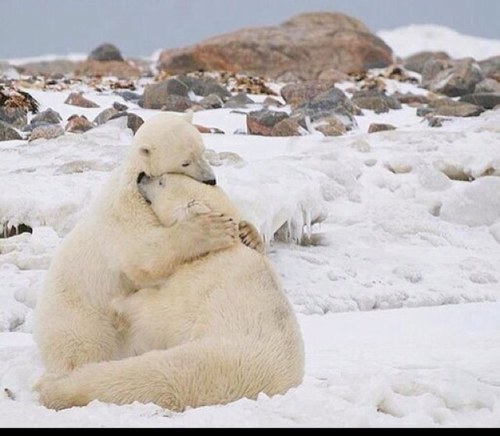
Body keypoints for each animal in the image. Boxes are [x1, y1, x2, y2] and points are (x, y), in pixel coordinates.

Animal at [33, 113, 240, 374]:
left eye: (202, 151)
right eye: (185, 162)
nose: (211, 180)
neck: (136, 175)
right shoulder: (127, 208)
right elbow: (142, 255)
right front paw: (213, 229)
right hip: (79, 318)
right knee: (84, 347)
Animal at [37, 173, 304, 412]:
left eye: (162, 181)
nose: (141, 176)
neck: (223, 250)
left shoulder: (198, 280)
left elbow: (159, 310)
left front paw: (120, 305)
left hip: (208, 362)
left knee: (142, 376)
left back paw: (52, 388)